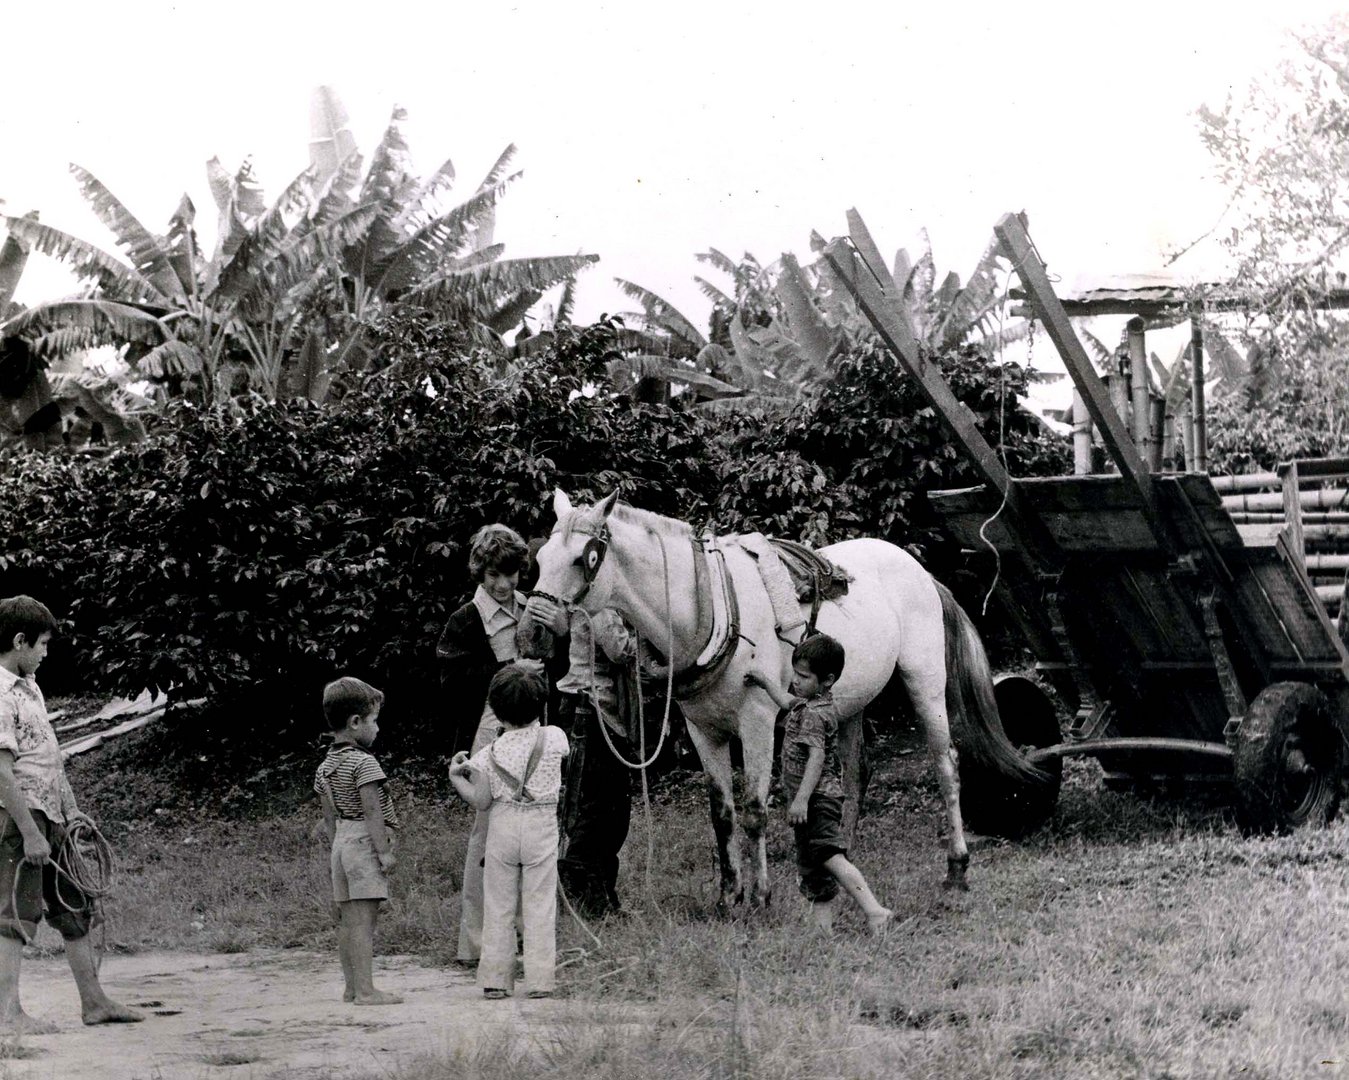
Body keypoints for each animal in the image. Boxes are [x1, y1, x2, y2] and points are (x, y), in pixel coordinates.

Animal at [526, 485, 1041, 900]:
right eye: (540, 559)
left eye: (585, 559)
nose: (533, 632)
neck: (710, 608)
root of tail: (919, 570)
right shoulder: (703, 730)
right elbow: (722, 814)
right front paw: (728, 896)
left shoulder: (756, 723)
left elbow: (754, 810)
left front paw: (759, 897)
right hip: (849, 702)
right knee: (856, 773)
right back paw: (840, 856)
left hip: (926, 682)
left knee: (946, 766)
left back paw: (956, 868)